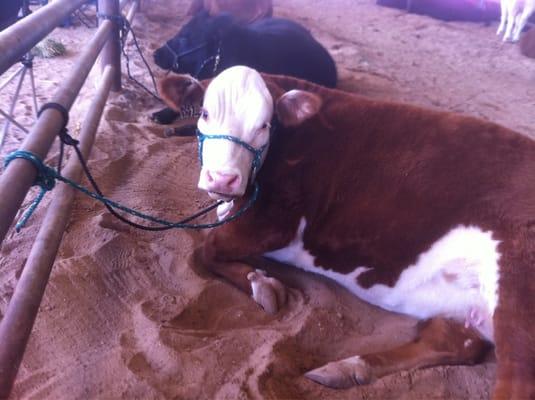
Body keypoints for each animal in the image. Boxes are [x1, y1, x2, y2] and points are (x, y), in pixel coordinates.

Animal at [160, 65, 535, 396]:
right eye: (205, 112)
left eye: (264, 124)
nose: (222, 179)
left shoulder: (274, 222)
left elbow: (208, 248)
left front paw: (262, 284)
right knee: (455, 342)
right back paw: (350, 368)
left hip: (518, 291)